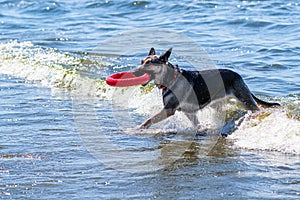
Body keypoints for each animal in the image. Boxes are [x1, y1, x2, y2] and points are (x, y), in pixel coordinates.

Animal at [133, 47, 278, 129]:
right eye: (141, 62)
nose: (134, 72)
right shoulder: (188, 112)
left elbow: (148, 120)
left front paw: (135, 130)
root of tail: (238, 76)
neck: (170, 77)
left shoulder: (169, 109)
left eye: (149, 63)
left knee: (257, 110)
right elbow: (197, 124)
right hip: (223, 103)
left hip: (244, 100)